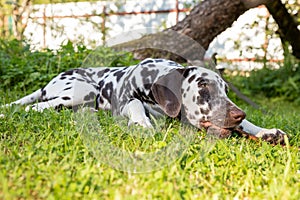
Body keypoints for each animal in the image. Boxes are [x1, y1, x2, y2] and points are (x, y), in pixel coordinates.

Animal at [2, 57, 286, 144]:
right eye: (203, 87)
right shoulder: (127, 100)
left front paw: (266, 131)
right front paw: (141, 124)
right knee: (37, 107)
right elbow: (136, 104)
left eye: (225, 90)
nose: (239, 114)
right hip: (81, 91)